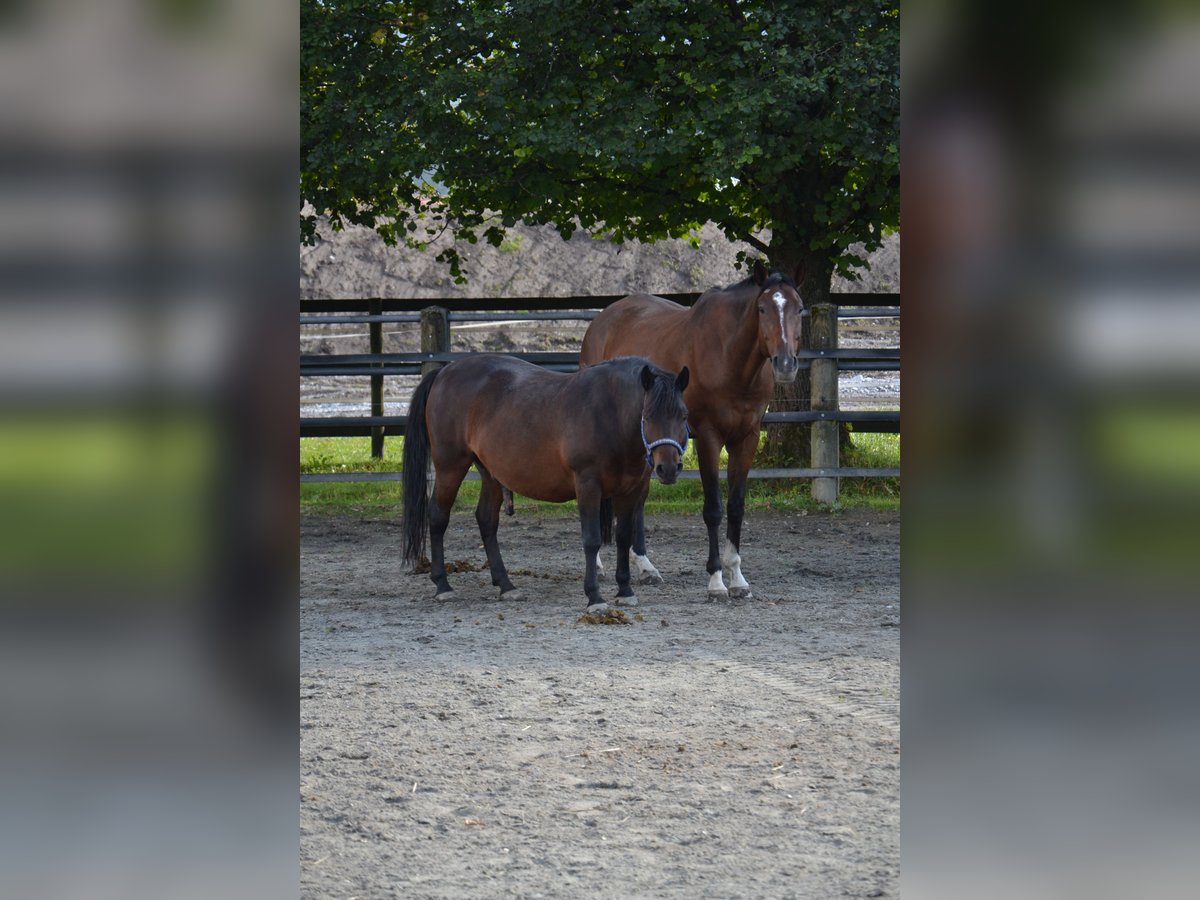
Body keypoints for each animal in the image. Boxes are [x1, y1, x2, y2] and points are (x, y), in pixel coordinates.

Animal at [400, 355, 691, 614]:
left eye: (683, 415)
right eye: (648, 415)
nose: (668, 468)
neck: (609, 413)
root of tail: (444, 372)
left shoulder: (631, 490)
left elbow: (623, 538)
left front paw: (625, 591)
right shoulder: (587, 485)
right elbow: (592, 540)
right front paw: (594, 597)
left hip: (490, 472)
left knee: (486, 520)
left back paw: (506, 586)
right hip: (450, 466)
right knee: (438, 516)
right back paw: (443, 586)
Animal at [576, 260, 801, 600]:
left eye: (799, 309)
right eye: (762, 308)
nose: (785, 364)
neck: (729, 356)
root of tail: (603, 320)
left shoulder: (746, 438)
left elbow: (736, 507)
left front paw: (738, 578)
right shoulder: (708, 437)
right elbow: (713, 509)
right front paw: (716, 580)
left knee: (637, 501)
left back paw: (646, 566)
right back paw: (602, 565)